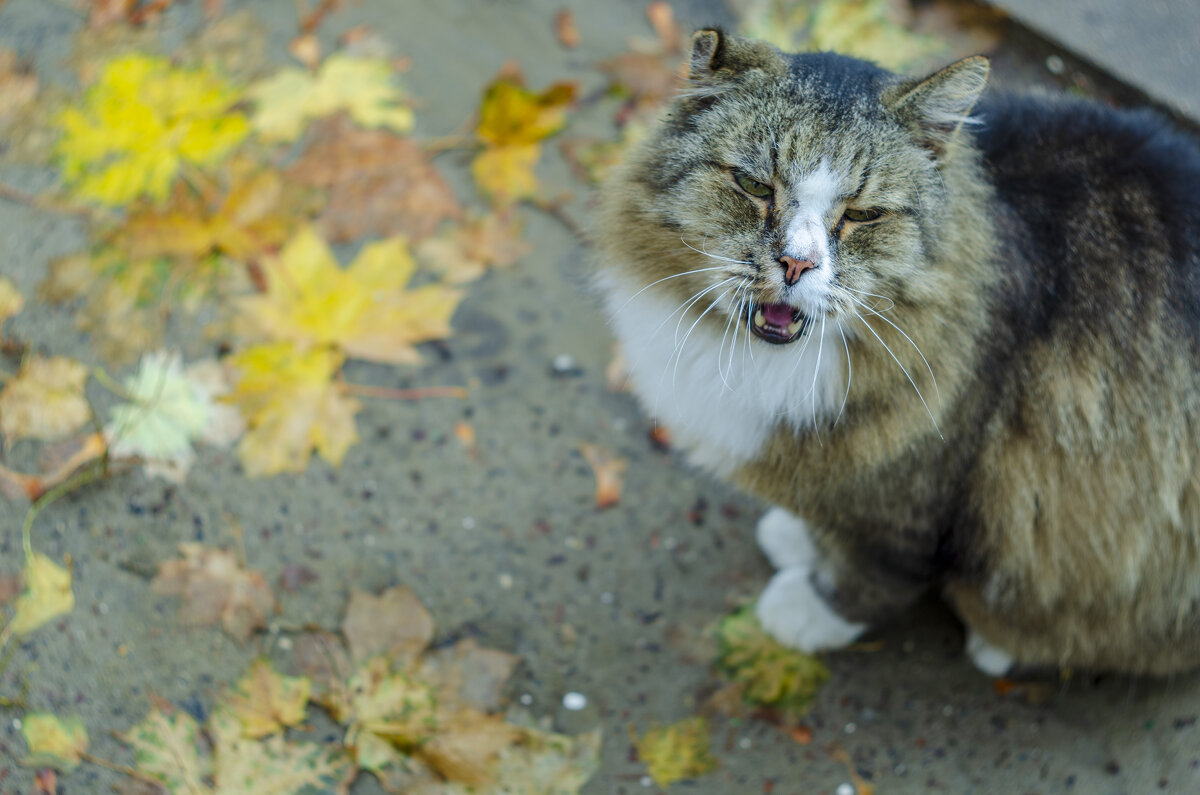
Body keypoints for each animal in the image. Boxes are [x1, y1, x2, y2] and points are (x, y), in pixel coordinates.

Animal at [595, 29, 1200, 677]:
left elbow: (873, 577)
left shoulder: (915, 497)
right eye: (755, 186)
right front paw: (800, 541)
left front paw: (806, 614)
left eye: (864, 215)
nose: (796, 264)